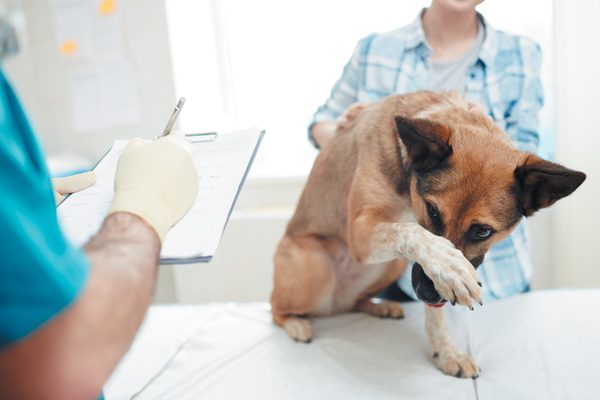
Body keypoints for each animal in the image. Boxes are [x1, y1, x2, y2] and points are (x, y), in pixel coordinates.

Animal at [270, 90, 584, 378]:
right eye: (432, 211)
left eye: (483, 231)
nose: (426, 293)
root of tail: (334, 305)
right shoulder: (359, 233)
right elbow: (412, 232)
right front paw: (450, 267)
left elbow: (436, 313)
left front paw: (447, 352)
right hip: (316, 269)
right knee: (275, 309)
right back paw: (296, 324)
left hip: (390, 265)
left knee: (355, 302)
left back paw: (378, 307)